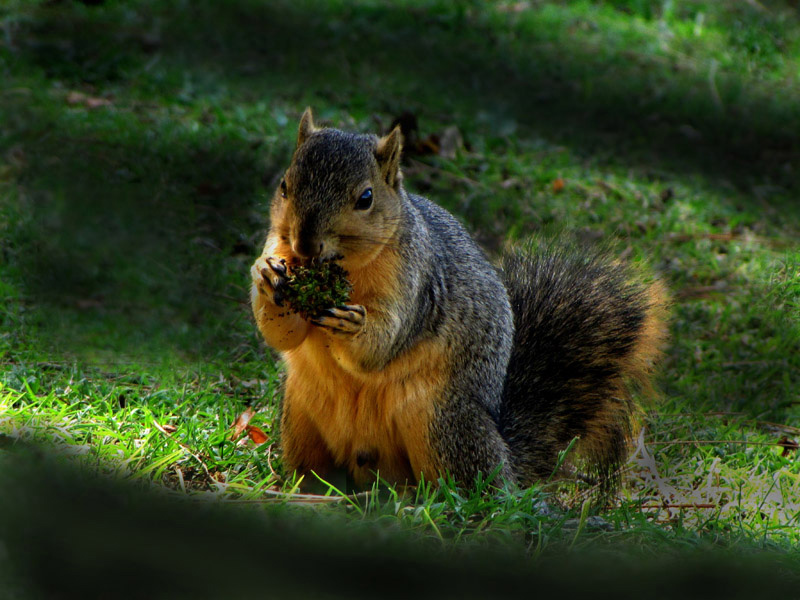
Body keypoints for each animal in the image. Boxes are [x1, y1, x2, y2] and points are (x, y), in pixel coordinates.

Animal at [252, 110, 668, 490]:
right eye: (285, 186)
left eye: (365, 198)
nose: (304, 245)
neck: (347, 268)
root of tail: (505, 457)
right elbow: (281, 335)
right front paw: (266, 276)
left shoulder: (417, 285)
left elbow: (380, 347)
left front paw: (354, 325)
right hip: (299, 419)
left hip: (443, 424)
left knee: (465, 483)